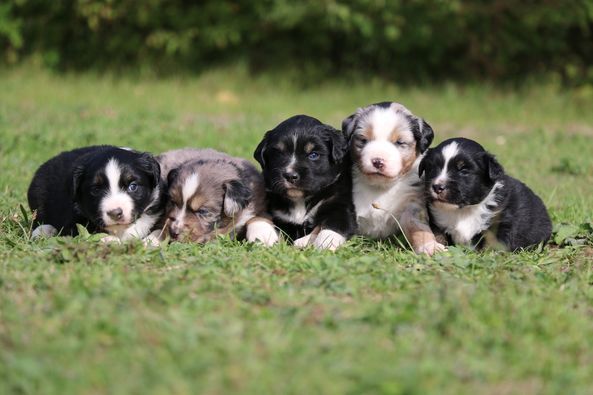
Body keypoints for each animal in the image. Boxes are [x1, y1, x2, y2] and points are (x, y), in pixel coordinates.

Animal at [252, 114, 354, 251]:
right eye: (279, 154)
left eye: (313, 155)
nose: (290, 176)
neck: (300, 200)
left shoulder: (340, 205)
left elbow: (333, 226)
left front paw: (325, 244)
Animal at [342, 102, 444, 255]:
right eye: (364, 140)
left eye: (400, 142)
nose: (377, 161)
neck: (381, 187)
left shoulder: (412, 206)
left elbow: (418, 228)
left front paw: (429, 246)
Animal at [416, 138, 552, 252]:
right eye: (432, 168)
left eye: (463, 170)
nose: (437, 187)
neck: (463, 211)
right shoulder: (436, 223)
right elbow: (438, 236)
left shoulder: (501, 222)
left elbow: (491, 244)